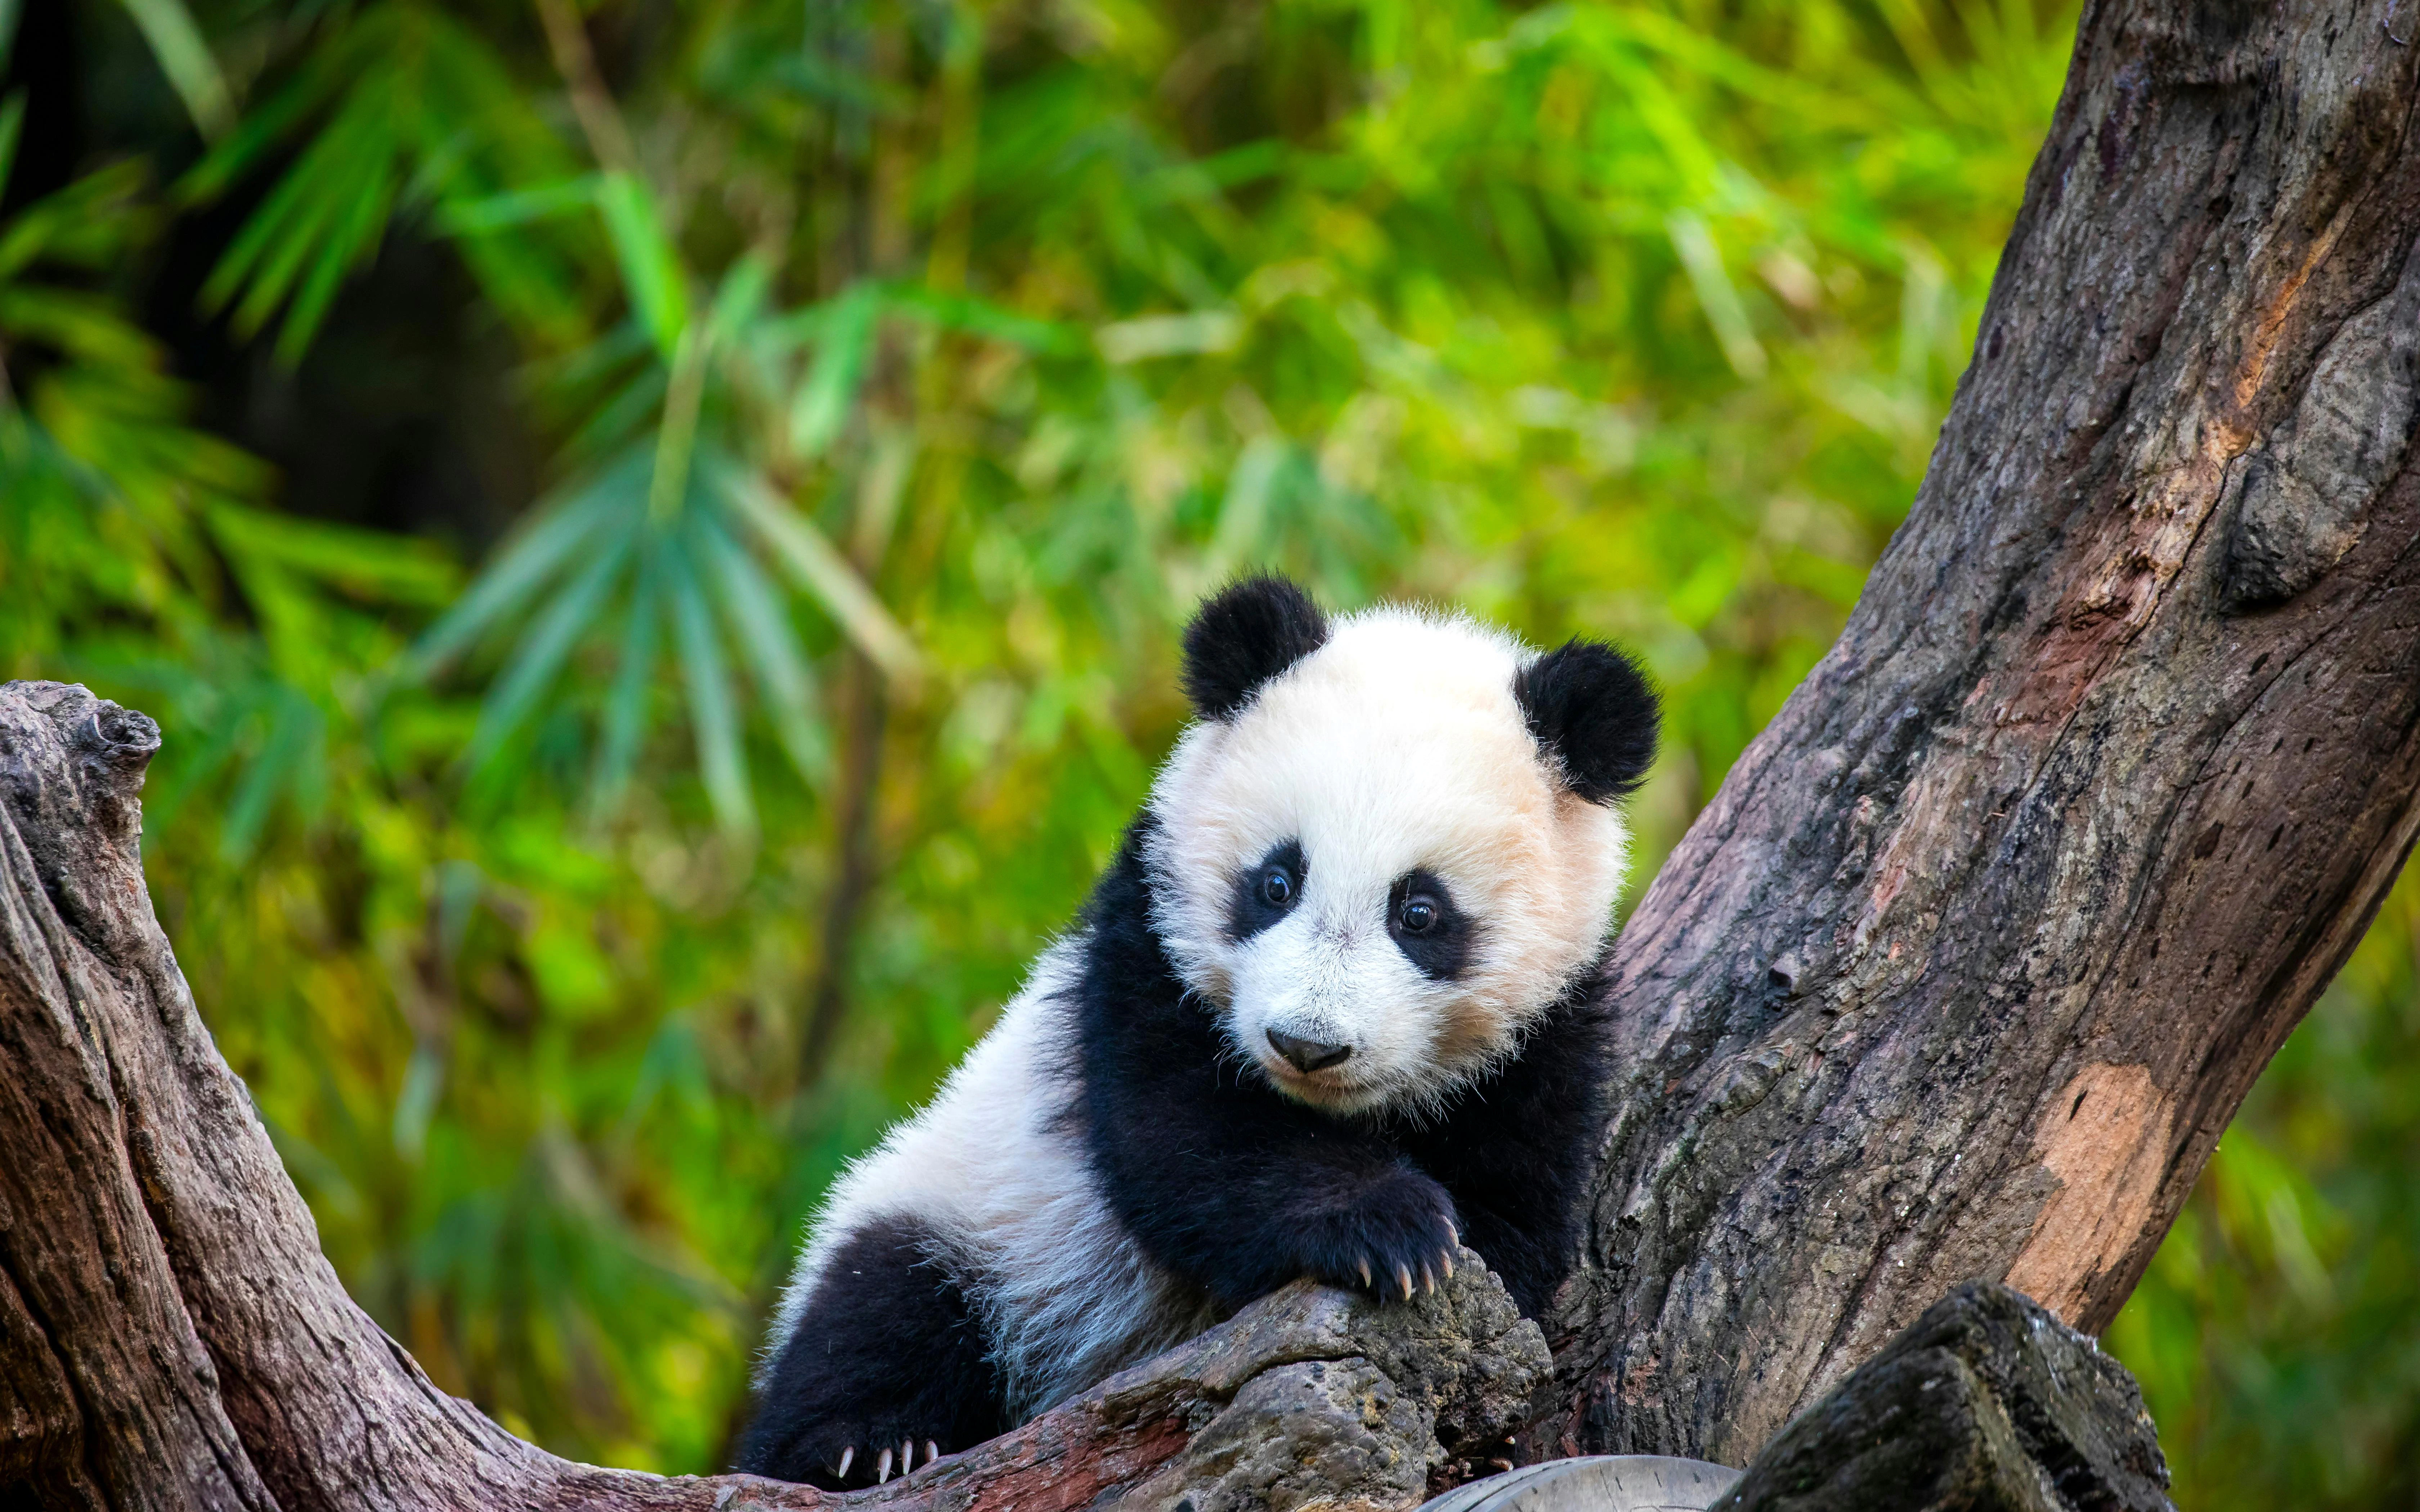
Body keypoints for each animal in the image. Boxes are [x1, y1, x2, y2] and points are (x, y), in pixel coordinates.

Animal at [737, 575, 1658, 1488]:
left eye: (1420, 912)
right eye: (1277, 882)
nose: (1308, 1045)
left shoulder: (1545, 1037)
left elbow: (1514, 1216)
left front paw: (1477, 1400)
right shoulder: (1146, 945)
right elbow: (1187, 1137)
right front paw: (1387, 1226)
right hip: (975, 1216)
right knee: (881, 1305)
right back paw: (866, 1448)